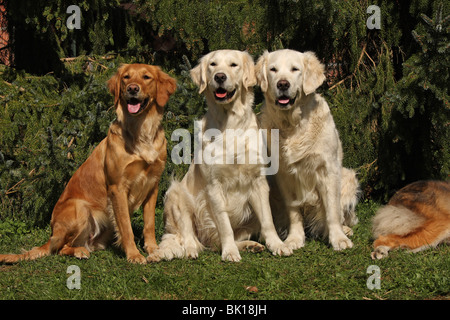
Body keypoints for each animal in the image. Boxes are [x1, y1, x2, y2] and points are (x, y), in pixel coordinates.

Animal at [0, 63, 176, 264]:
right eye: (126, 77)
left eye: (146, 77)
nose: (132, 88)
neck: (141, 130)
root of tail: (53, 234)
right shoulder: (118, 188)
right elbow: (126, 227)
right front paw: (133, 254)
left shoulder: (152, 185)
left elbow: (149, 224)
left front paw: (154, 250)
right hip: (80, 208)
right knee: (60, 248)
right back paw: (79, 252)